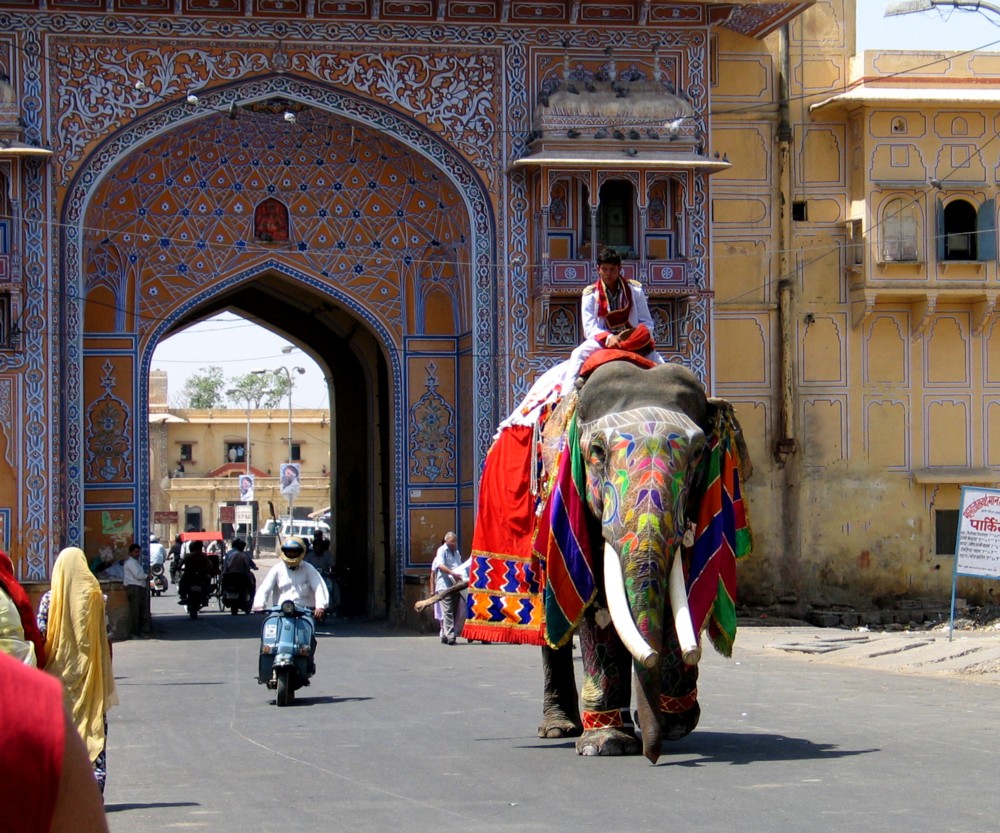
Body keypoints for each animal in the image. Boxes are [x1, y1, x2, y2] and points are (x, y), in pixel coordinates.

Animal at [462, 358, 752, 760]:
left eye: (697, 454)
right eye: (597, 452)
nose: (652, 754)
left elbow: (678, 594)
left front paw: (675, 725)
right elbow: (597, 606)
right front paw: (607, 743)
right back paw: (560, 728)